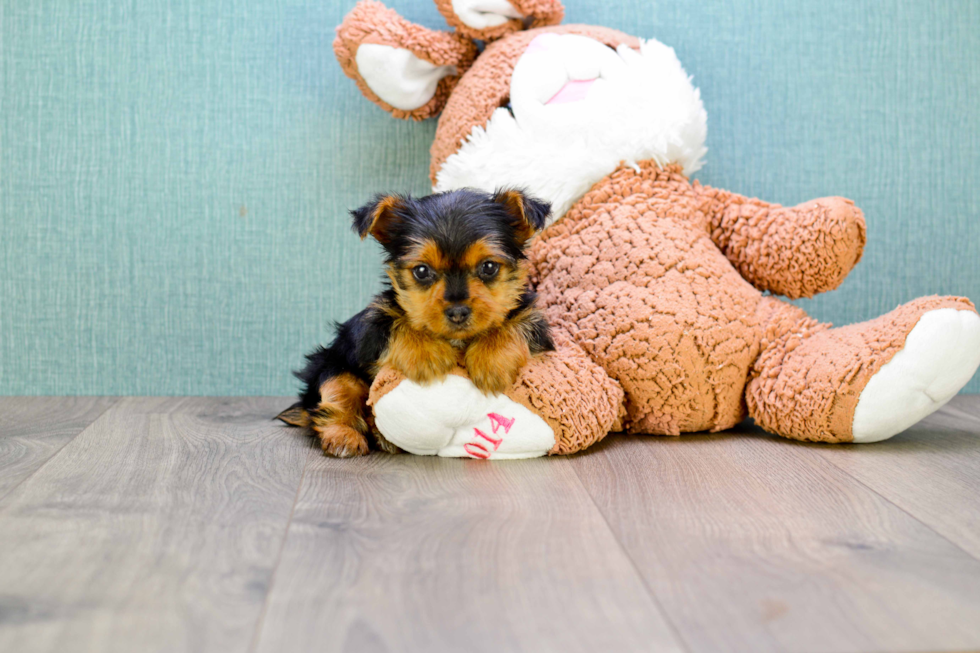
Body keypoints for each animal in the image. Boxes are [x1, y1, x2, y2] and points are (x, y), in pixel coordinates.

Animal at [278, 186, 552, 456]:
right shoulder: (373, 326)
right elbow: (398, 322)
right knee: (335, 398)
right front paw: (426, 356)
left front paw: (491, 361)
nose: (458, 312)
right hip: (331, 365)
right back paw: (345, 437)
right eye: (421, 271)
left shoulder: (534, 322)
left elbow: (515, 323)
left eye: (489, 267)